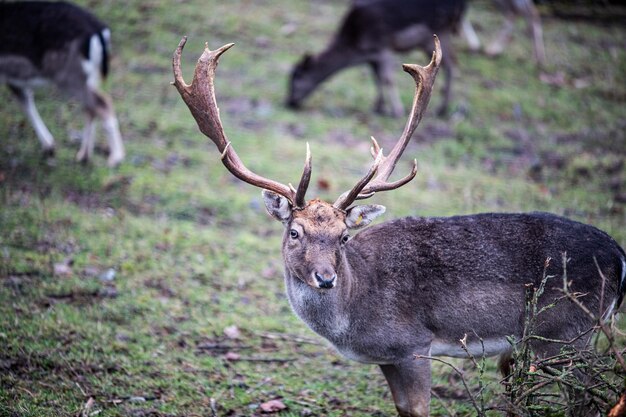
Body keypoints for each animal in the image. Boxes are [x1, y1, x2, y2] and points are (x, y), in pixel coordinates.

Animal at [0, 0, 124, 166]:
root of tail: (99, 29)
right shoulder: (13, 78)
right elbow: (25, 101)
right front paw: (49, 147)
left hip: (68, 75)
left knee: (101, 103)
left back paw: (115, 157)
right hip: (89, 76)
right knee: (90, 107)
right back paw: (83, 156)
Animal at [172, 38, 624, 416]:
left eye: (344, 236)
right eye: (295, 232)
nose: (326, 278)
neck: (356, 315)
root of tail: (619, 258)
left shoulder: (413, 344)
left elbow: (420, 409)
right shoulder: (387, 357)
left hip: (566, 333)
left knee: (585, 396)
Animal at [284, 0, 464, 118]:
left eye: (297, 78)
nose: (289, 102)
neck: (356, 48)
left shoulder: (382, 46)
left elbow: (387, 79)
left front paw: (397, 111)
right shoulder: (372, 57)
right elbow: (376, 79)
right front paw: (378, 107)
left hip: (437, 32)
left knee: (451, 65)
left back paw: (442, 109)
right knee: (452, 63)